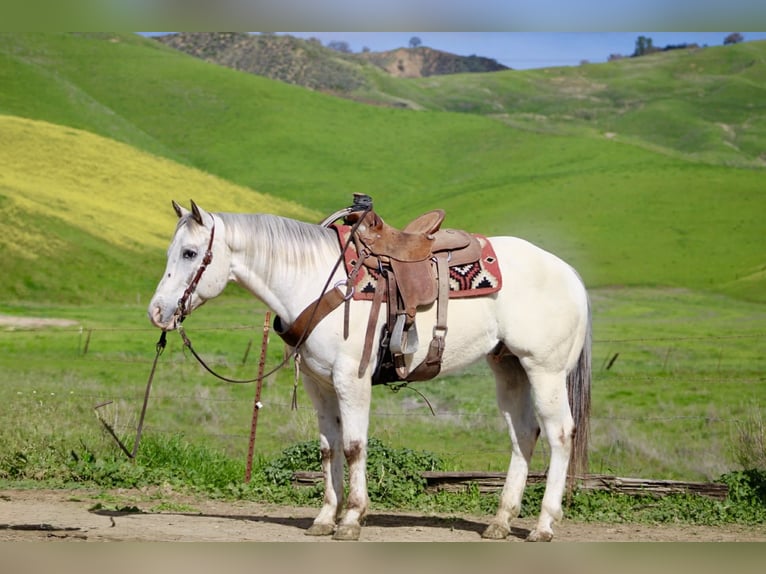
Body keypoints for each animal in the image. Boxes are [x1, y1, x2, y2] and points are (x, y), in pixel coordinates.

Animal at [148, 200, 592, 542]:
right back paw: (500, 522)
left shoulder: (352, 380)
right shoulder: (319, 385)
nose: (157, 312)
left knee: (559, 434)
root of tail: (568, 272)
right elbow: (328, 448)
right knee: (524, 434)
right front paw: (324, 518)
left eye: (189, 254)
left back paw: (544, 524)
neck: (315, 281)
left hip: (544, 370)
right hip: (509, 366)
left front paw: (351, 519)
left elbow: (354, 446)